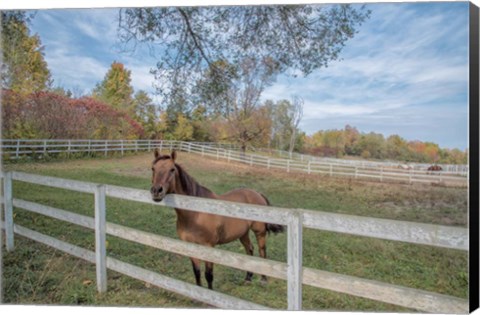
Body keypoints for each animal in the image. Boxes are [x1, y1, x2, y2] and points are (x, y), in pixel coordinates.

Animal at [152, 149, 284, 290]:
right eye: (153, 168)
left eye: (172, 169)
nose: (156, 191)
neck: (195, 214)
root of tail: (257, 194)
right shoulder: (191, 246)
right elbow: (197, 272)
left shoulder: (209, 247)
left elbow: (208, 275)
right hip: (243, 233)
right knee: (250, 249)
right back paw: (248, 278)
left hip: (260, 232)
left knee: (262, 251)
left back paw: (263, 279)